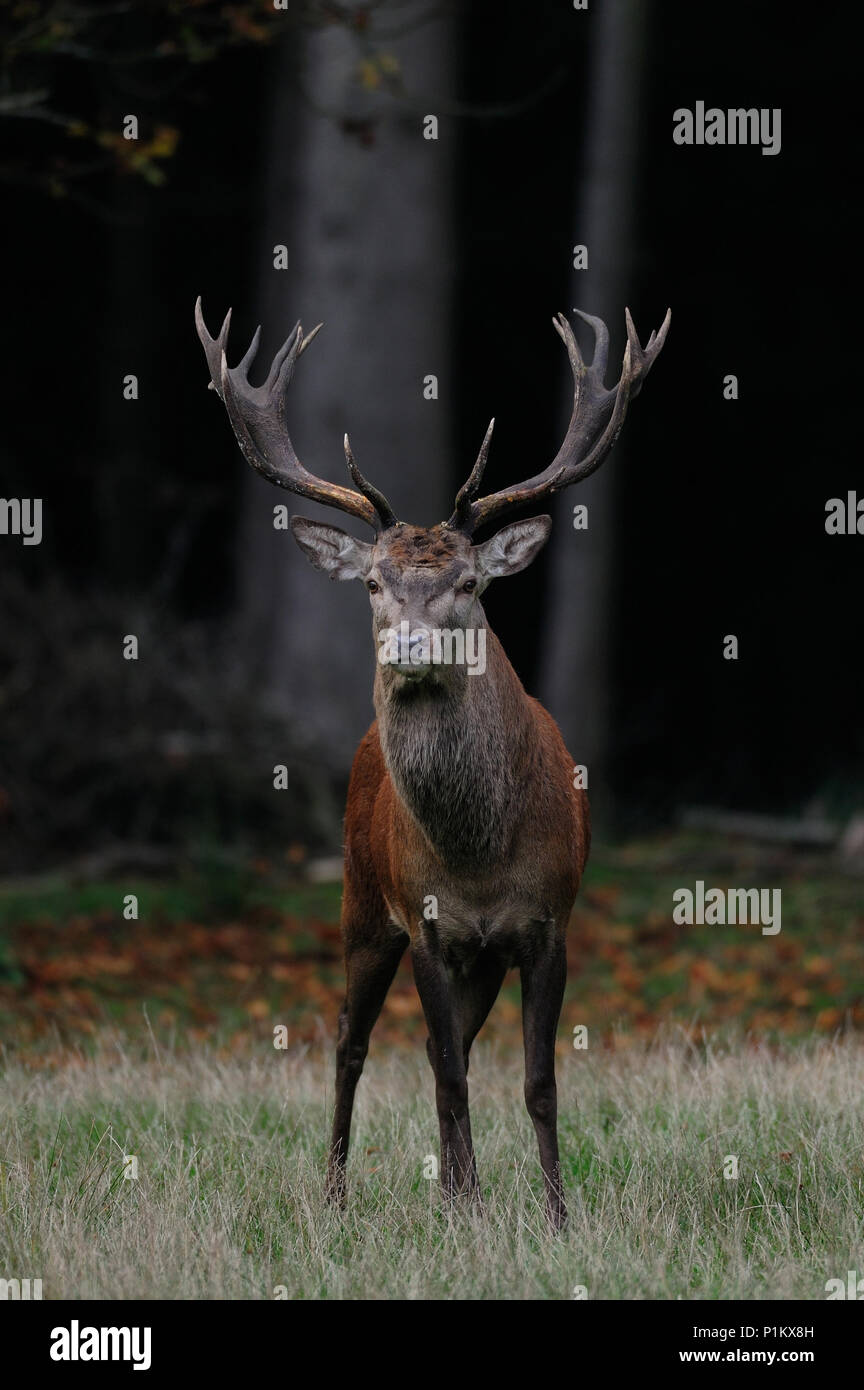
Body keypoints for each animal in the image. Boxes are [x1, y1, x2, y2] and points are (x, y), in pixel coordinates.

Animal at [195, 297, 670, 1229]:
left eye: (469, 584)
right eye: (374, 583)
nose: (411, 644)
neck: (480, 859)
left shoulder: (549, 922)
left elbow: (535, 1082)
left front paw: (555, 1216)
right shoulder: (424, 922)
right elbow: (451, 1078)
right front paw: (473, 1208)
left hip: (472, 959)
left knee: (437, 1047)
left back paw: (444, 1186)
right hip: (359, 901)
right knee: (354, 1043)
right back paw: (339, 1193)